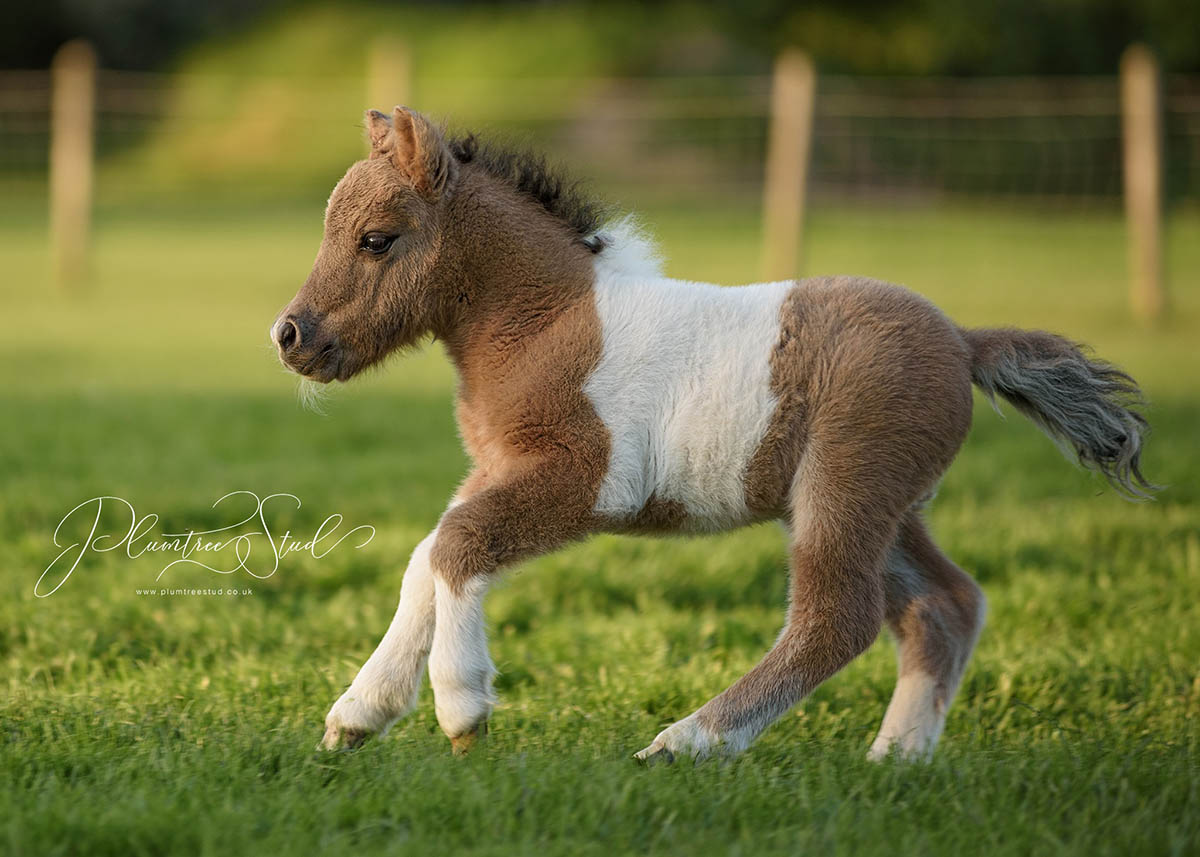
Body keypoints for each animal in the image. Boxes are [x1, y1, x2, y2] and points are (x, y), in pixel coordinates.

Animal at [272, 108, 1152, 763]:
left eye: (377, 238)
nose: (291, 335)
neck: (548, 324)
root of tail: (966, 341)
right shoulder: (498, 468)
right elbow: (429, 555)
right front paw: (359, 714)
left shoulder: (587, 478)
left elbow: (457, 546)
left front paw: (462, 711)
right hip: (884, 506)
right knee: (947, 604)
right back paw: (894, 758)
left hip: (846, 489)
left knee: (839, 618)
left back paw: (688, 741)